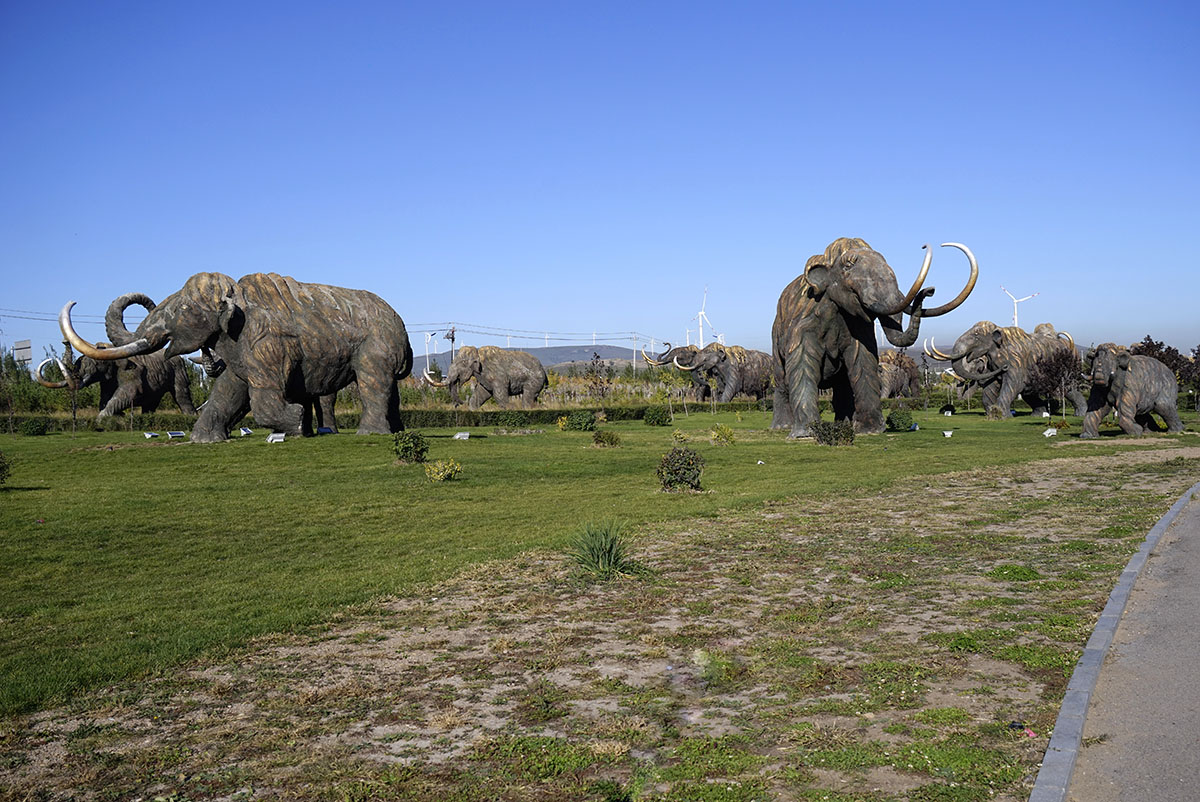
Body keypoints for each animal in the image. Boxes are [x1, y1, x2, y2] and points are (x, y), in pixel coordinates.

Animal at [37, 293, 198, 418]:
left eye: (95, 361)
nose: (64, 341)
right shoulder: (107, 381)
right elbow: (104, 400)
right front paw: (118, 416)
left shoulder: (131, 372)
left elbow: (128, 393)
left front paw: (101, 419)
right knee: (151, 404)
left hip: (179, 373)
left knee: (181, 396)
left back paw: (190, 417)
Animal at [60, 272, 413, 443]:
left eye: (182, 309)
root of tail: (402, 328)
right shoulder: (239, 348)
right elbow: (229, 391)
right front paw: (203, 439)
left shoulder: (264, 343)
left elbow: (261, 399)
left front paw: (297, 425)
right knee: (390, 392)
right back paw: (395, 432)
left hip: (375, 349)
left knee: (372, 385)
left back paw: (369, 434)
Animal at [771, 238, 977, 437]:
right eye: (848, 265)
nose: (929, 290)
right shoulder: (803, 324)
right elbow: (802, 364)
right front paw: (805, 434)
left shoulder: (859, 329)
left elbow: (863, 360)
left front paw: (870, 431)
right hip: (776, 340)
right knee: (782, 381)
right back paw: (782, 427)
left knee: (842, 386)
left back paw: (843, 425)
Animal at [925, 321, 1086, 417]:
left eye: (976, 335)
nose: (1004, 367)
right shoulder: (993, 365)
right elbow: (991, 386)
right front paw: (992, 413)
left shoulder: (1016, 359)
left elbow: (1013, 384)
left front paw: (1002, 416)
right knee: (1029, 393)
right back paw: (1039, 415)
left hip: (1068, 368)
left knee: (1068, 389)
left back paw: (1080, 414)